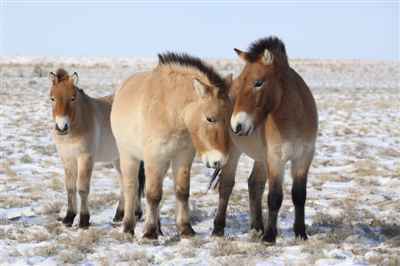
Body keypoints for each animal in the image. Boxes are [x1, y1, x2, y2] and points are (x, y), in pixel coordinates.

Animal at [48, 69, 145, 229]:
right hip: (118, 159)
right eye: (52, 98)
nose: (62, 127)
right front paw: (68, 218)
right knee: (124, 183)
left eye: (73, 98)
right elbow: (70, 188)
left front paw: (83, 220)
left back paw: (134, 214)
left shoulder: (85, 158)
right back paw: (120, 215)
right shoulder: (67, 158)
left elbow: (82, 188)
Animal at [111, 52, 233, 237]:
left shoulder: (182, 157)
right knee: (131, 188)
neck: (170, 110)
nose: (220, 160)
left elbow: (182, 192)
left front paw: (185, 229)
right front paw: (149, 233)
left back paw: (159, 227)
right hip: (129, 156)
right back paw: (128, 227)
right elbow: (153, 195)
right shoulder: (154, 158)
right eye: (210, 118)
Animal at [212, 37, 318, 243]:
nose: (237, 125)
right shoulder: (276, 159)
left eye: (258, 82)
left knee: (255, 184)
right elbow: (275, 197)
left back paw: (257, 227)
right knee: (226, 185)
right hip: (234, 153)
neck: (294, 119)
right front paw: (270, 236)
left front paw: (300, 233)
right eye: (242, 82)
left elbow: (299, 195)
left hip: (261, 157)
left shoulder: (303, 158)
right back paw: (218, 228)